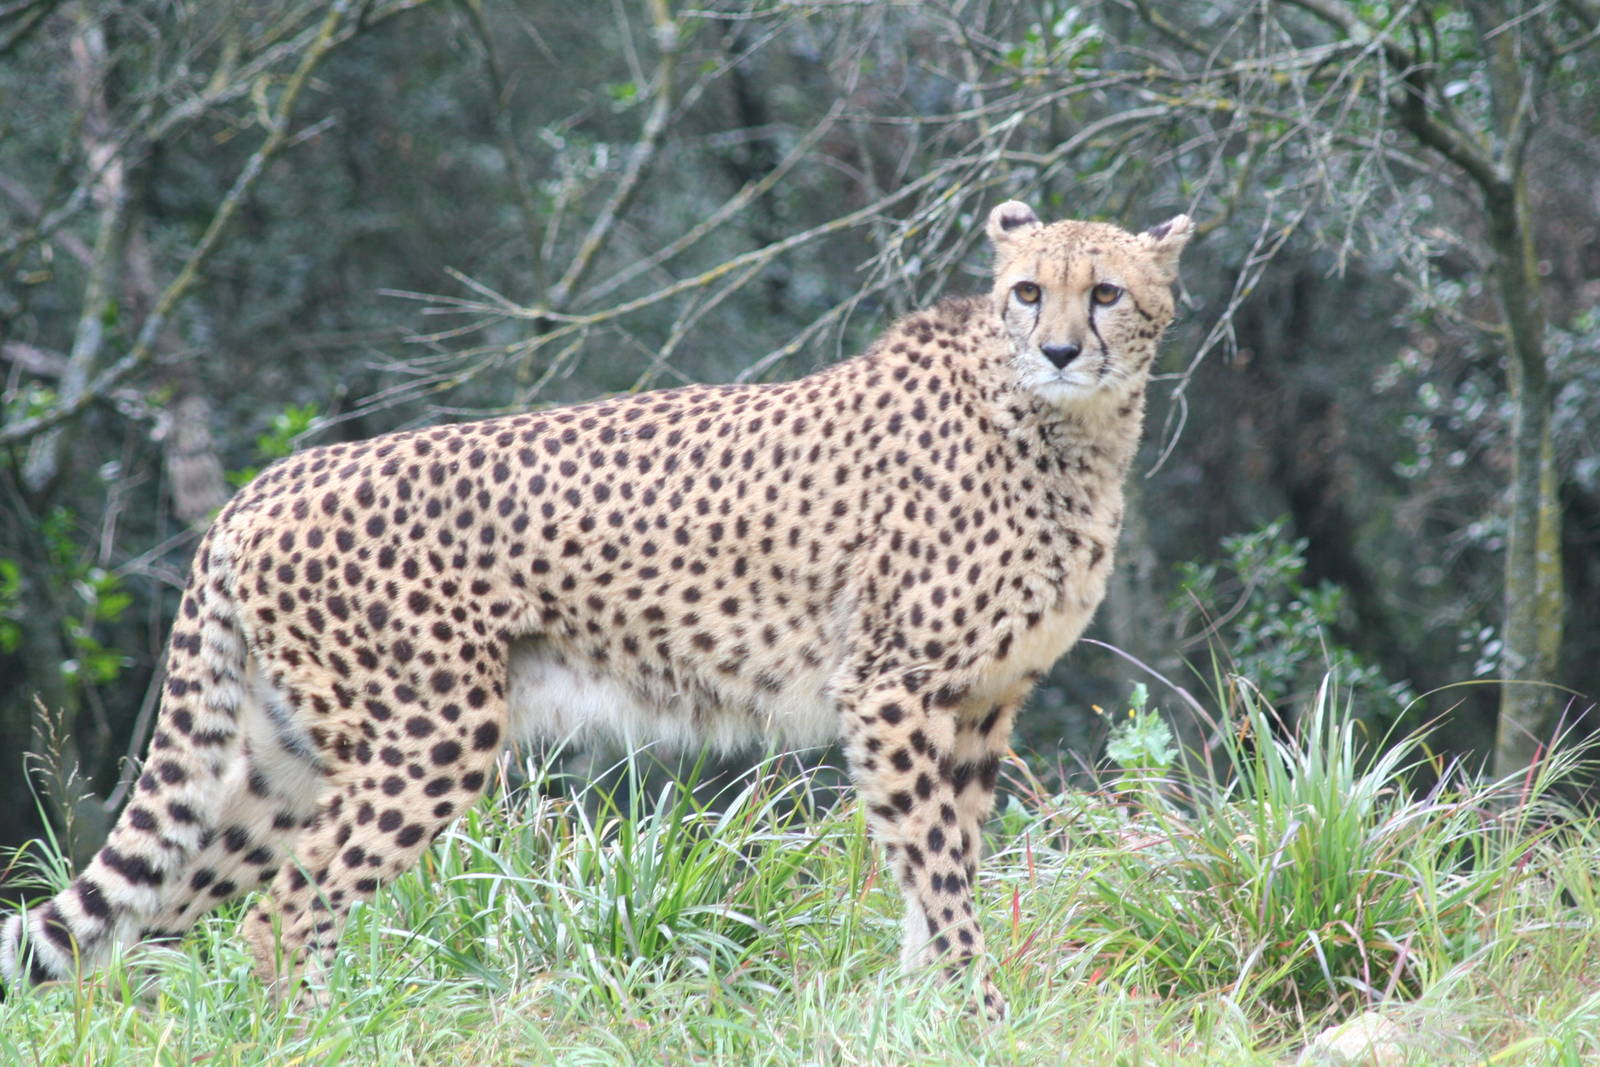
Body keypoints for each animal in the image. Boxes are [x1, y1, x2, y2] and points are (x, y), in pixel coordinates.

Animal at [1, 201, 1192, 1018]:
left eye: (1107, 293)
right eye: (1029, 291)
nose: (1060, 349)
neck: (1062, 427)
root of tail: (267, 482)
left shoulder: (980, 704)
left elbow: (935, 868)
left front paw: (926, 1010)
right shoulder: (893, 690)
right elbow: (939, 872)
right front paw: (974, 1013)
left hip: (281, 757)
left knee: (162, 924)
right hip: (427, 734)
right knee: (285, 907)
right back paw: (320, 1033)